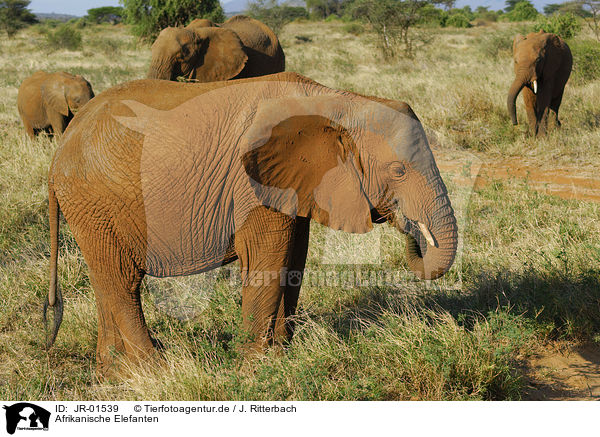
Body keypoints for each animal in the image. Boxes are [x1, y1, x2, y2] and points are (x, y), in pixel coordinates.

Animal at [47, 71, 458, 372]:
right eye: (398, 170)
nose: (409, 225)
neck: (338, 102)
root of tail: (60, 151)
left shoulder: (298, 182)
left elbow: (293, 263)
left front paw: (280, 356)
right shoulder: (254, 182)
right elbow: (267, 261)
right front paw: (254, 371)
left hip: (90, 208)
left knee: (106, 279)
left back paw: (116, 375)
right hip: (93, 200)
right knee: (122, 282)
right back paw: (157, 370)